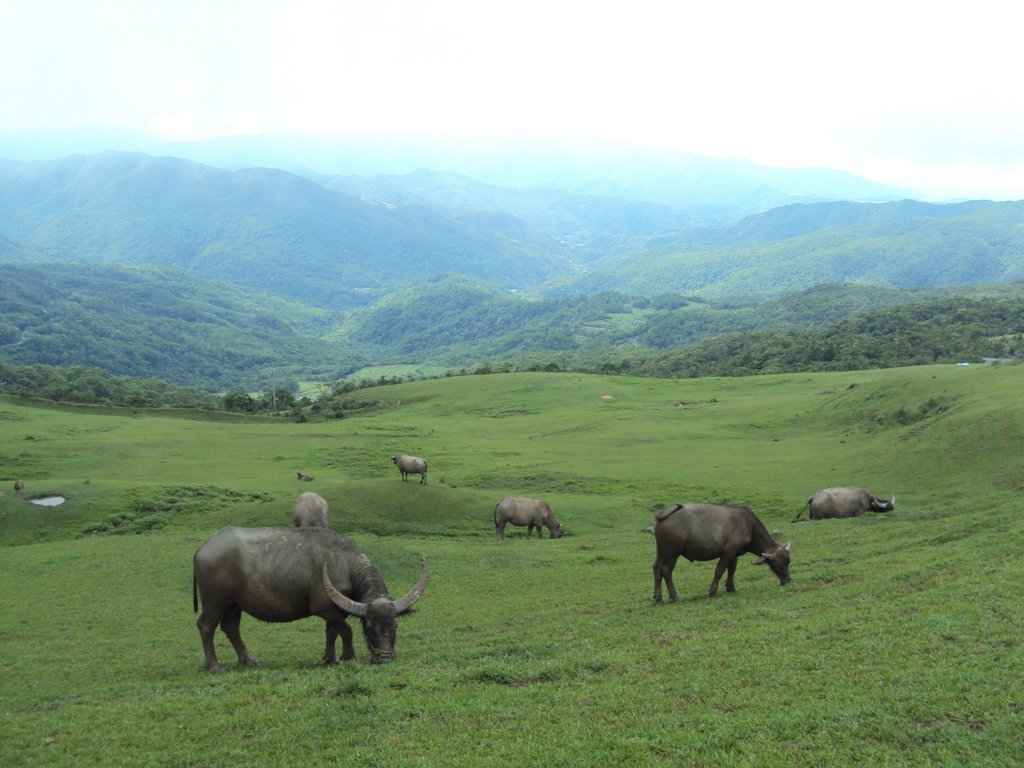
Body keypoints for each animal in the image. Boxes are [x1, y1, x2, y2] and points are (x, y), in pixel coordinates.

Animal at [192, 528, 428, 671]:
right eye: (368, 628)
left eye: (394, 627)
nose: (385, 658)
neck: (344, 565)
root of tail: (204, 547)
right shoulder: (324, 608)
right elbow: (346, 631)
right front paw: (348, 657)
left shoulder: (336, 611)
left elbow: (332, 632)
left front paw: (330, 658)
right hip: (215, 602)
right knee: (206, 626)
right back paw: (214, 665)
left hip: (234, 605)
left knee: (231, 628)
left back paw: (248, 660)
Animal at [651, 501, 794, 606]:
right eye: (778, 566)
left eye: (788, 562)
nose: (788, 580)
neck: (747, 525)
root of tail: (664, 513)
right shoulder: (728, 552)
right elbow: (719, 570)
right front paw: (712, 591)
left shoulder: (735, 553)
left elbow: (732, 570)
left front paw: (731, 587)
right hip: (672, 553)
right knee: (666, 570)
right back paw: (675, 597)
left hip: (661, 550)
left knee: (656, 568)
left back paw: (658, 598)